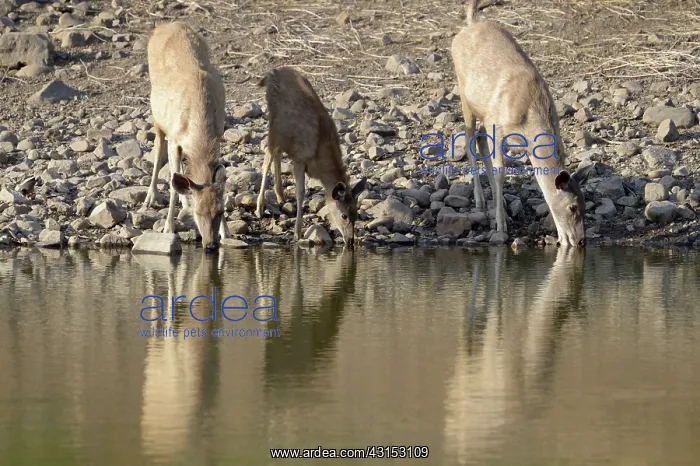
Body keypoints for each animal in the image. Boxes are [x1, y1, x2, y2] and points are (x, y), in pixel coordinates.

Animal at [140, 21, 229, 253]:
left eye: (220, 212)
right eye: (199, 213)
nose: (210, 245)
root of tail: (165, 24)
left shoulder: (219, 134)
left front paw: (226, 232)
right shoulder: (174, 138)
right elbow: (172, 183)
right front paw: (168, 228)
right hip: (157, 117)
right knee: (158, 152)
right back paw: (151, 197)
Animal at [255, 66, 367, 248]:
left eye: (356, 214)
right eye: (343, 215)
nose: (350, 241)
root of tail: (272, 73)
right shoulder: (300, 159)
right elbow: (301, 192)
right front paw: (297, 232)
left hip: (282, 134)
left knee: (276, 154)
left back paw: (280, 196)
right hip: (273, 125)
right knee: (267, 157)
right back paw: (259, 207)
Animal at [451, 0, 592, 247]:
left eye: (585, 204)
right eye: (572, 207)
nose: (580, 240)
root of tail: (470, 24)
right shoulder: (498, 126)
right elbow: (500, 171)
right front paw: (501, 226)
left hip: (483, 112)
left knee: (479, 137)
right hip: (465, 98)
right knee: (469, 139)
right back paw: (480, 201)